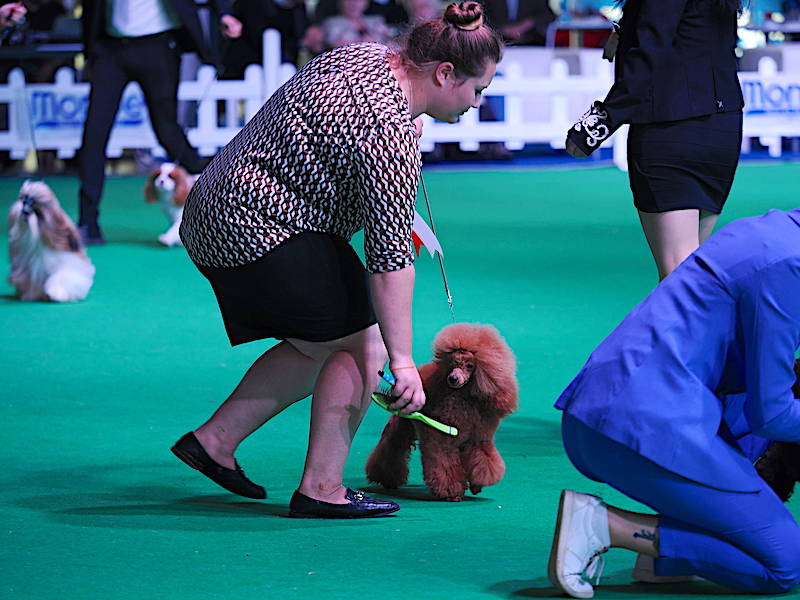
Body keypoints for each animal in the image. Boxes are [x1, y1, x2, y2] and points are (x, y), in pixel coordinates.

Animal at [368, 324, 520, 502]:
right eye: (452, 364)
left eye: (469, 366)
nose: (453, 378)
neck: (463, 399)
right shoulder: (442, 442)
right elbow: (444, 465)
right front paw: (452, 492)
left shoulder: (479, 440)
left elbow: (482, 462)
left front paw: (477, 485)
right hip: (402, 425)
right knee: (392, 446)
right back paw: (386, 479)